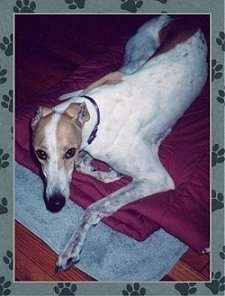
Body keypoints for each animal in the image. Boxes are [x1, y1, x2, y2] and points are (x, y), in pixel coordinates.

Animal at [31, 15, 207, 272]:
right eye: (40, 154)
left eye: (69, 152)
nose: (55, 202)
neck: (97, 114)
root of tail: (180, 20)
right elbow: (86, 167)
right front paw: (107, 173)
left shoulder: (157, 178)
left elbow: (94, 207)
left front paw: (71, 249)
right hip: (134, 59)